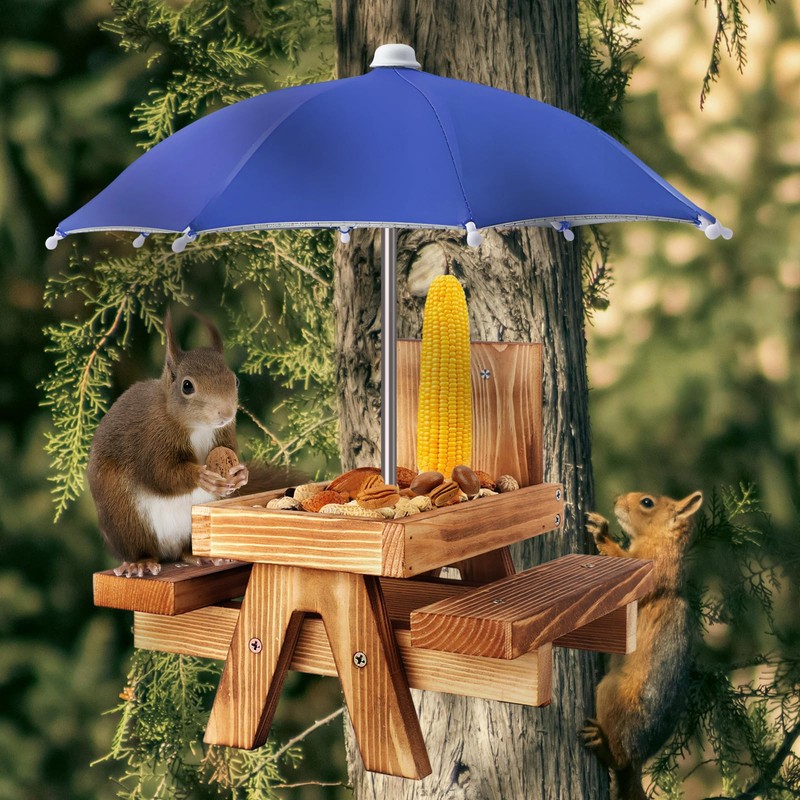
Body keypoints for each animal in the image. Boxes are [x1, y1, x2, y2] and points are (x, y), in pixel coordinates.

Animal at [88, 310, 285, 578]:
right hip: (124, 517)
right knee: (141, 547)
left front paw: (240, 473)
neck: (198, 427)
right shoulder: (151, 437)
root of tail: (167, 550)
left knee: (185, 550)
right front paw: (201, 475)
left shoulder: (224, 433)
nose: (226, 413)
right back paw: (140, 563)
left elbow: (230, 453)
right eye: (187, 386)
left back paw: (201, 556)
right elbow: (160, 473)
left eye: (235, 381)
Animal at [581, 490, 704, 800]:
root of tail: (639, 759)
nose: (616, 501)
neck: (660, 543)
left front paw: (602, 532)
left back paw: (602, 744)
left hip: (612, 695)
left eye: (647, 502)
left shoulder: (650, 569)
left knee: (619, 759)